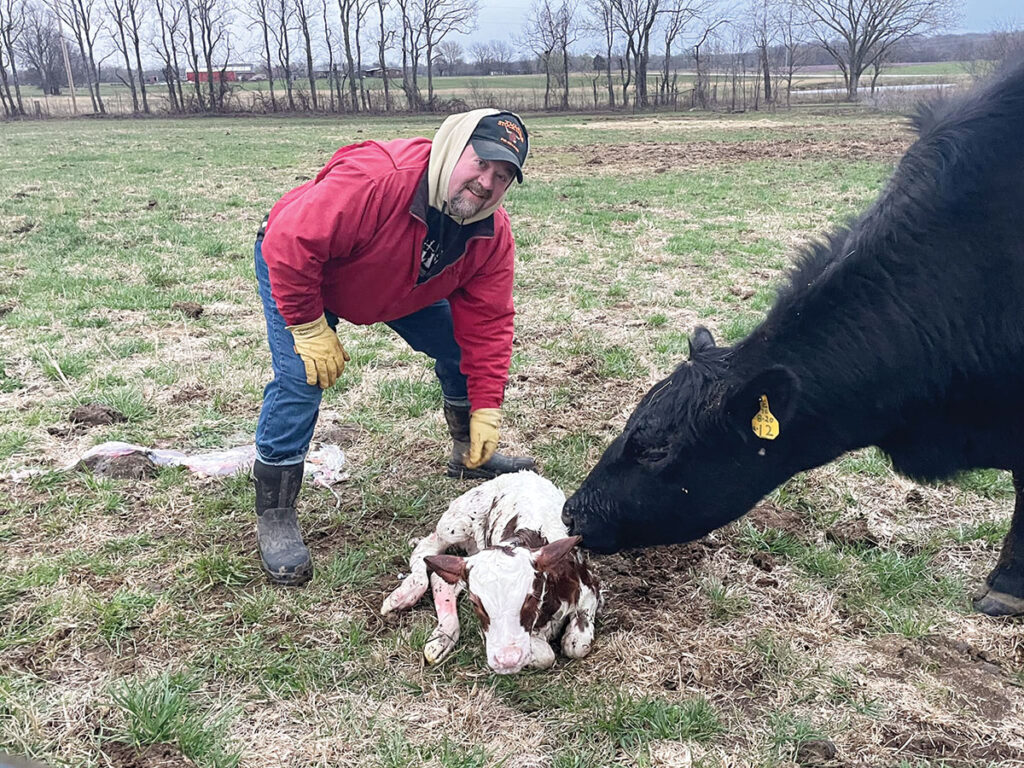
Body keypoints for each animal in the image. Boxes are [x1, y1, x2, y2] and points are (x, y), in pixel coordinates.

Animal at [380, 473, 598, 675]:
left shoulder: (589, 587)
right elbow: (546, 655)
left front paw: (570, 638)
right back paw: (406, 595)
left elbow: (577, 646)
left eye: (530, 598)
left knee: (441, 577)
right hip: (456, 522)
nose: (507, 659)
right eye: (475, 603)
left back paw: (444, 635)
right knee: (425, 550)